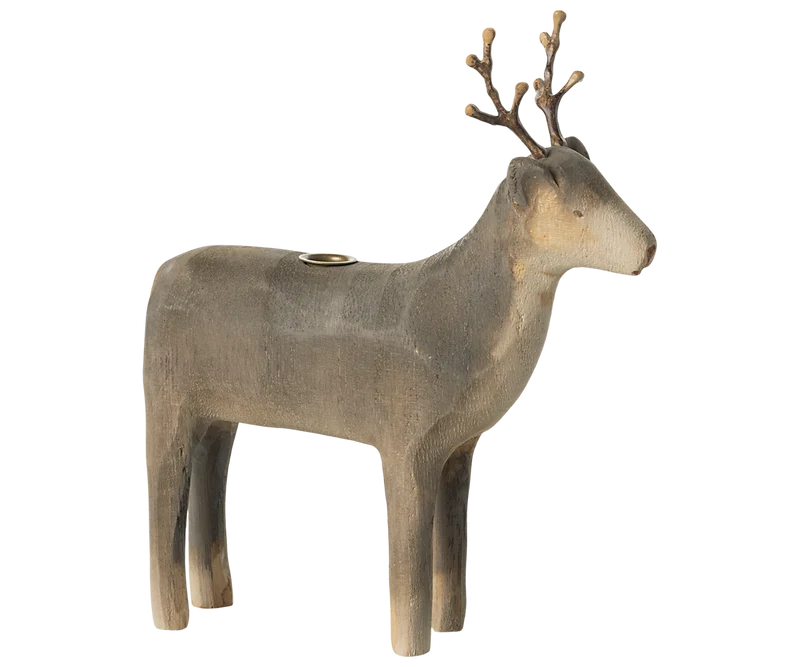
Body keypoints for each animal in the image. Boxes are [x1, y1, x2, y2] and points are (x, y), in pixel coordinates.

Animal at [142, 8, 658, 659]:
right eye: (579, 212)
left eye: (609, 185)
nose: (649, 248)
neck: (461, 328)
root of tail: (160, 281)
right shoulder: (404, 439)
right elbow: (408, 570)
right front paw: (410, 648)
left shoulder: (459, 447)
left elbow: (450, 556)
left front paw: (451, 631)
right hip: (167, 398)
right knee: (162, 501)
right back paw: (173, 622)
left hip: (218, 411)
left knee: (209, 476)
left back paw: (216, 602)